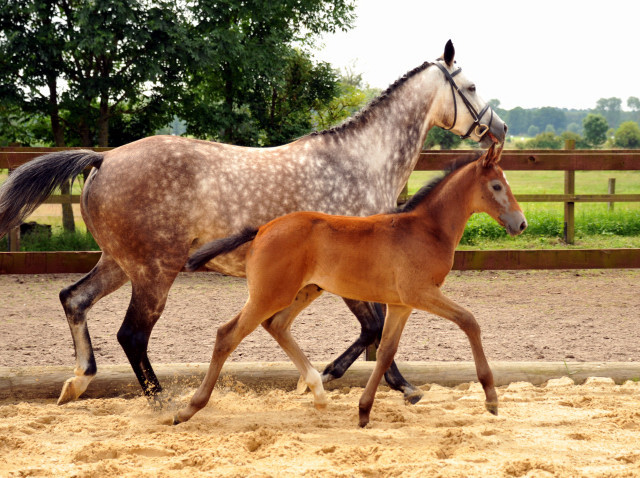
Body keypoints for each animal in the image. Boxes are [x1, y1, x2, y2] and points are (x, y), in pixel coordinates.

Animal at [0, 42, 504, 408]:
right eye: (472, 85)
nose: (499, 128)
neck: (359, 164)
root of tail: (103, 159)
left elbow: (375, 329)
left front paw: (332, 379)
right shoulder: (352, 272)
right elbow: (376, 330)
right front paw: (365, 382)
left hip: (119, 263)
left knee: (74, 299)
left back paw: (78, 383)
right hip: (154, 271)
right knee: (132, 335)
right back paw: (162, 402)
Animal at [175, 145, 524, 426]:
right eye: (496, 185)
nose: (521, 223)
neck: (426, 229)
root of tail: (262, 228)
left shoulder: (401, 304)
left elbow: (385, 351)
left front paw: (365, 410)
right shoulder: (421, 293)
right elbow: (469, 321)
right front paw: (491, 398)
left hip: (303, 291)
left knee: (277, 325)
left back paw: (317, 391)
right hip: (268, 294)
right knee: (227, 334)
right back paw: (188, 409)